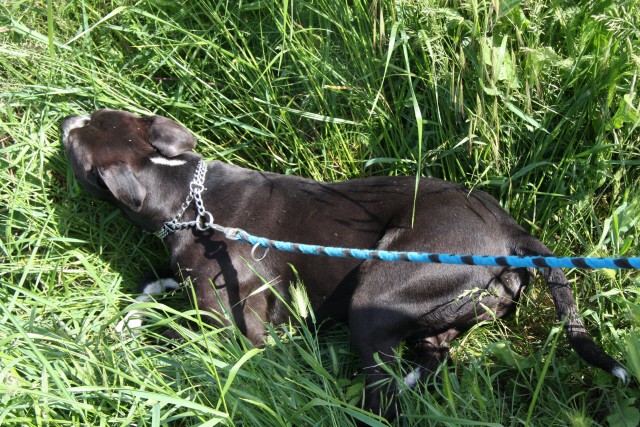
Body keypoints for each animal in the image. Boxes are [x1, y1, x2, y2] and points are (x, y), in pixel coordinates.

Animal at [61, 110, 624, 422]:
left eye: (73, 146)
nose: (65, 119)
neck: (185, 193)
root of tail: (512, 232)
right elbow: (151, 287)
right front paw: (127, 320)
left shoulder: (232, 327)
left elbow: (176, 341)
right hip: (442, 311)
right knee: (429, 358)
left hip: (375, 299)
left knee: (388, 400)